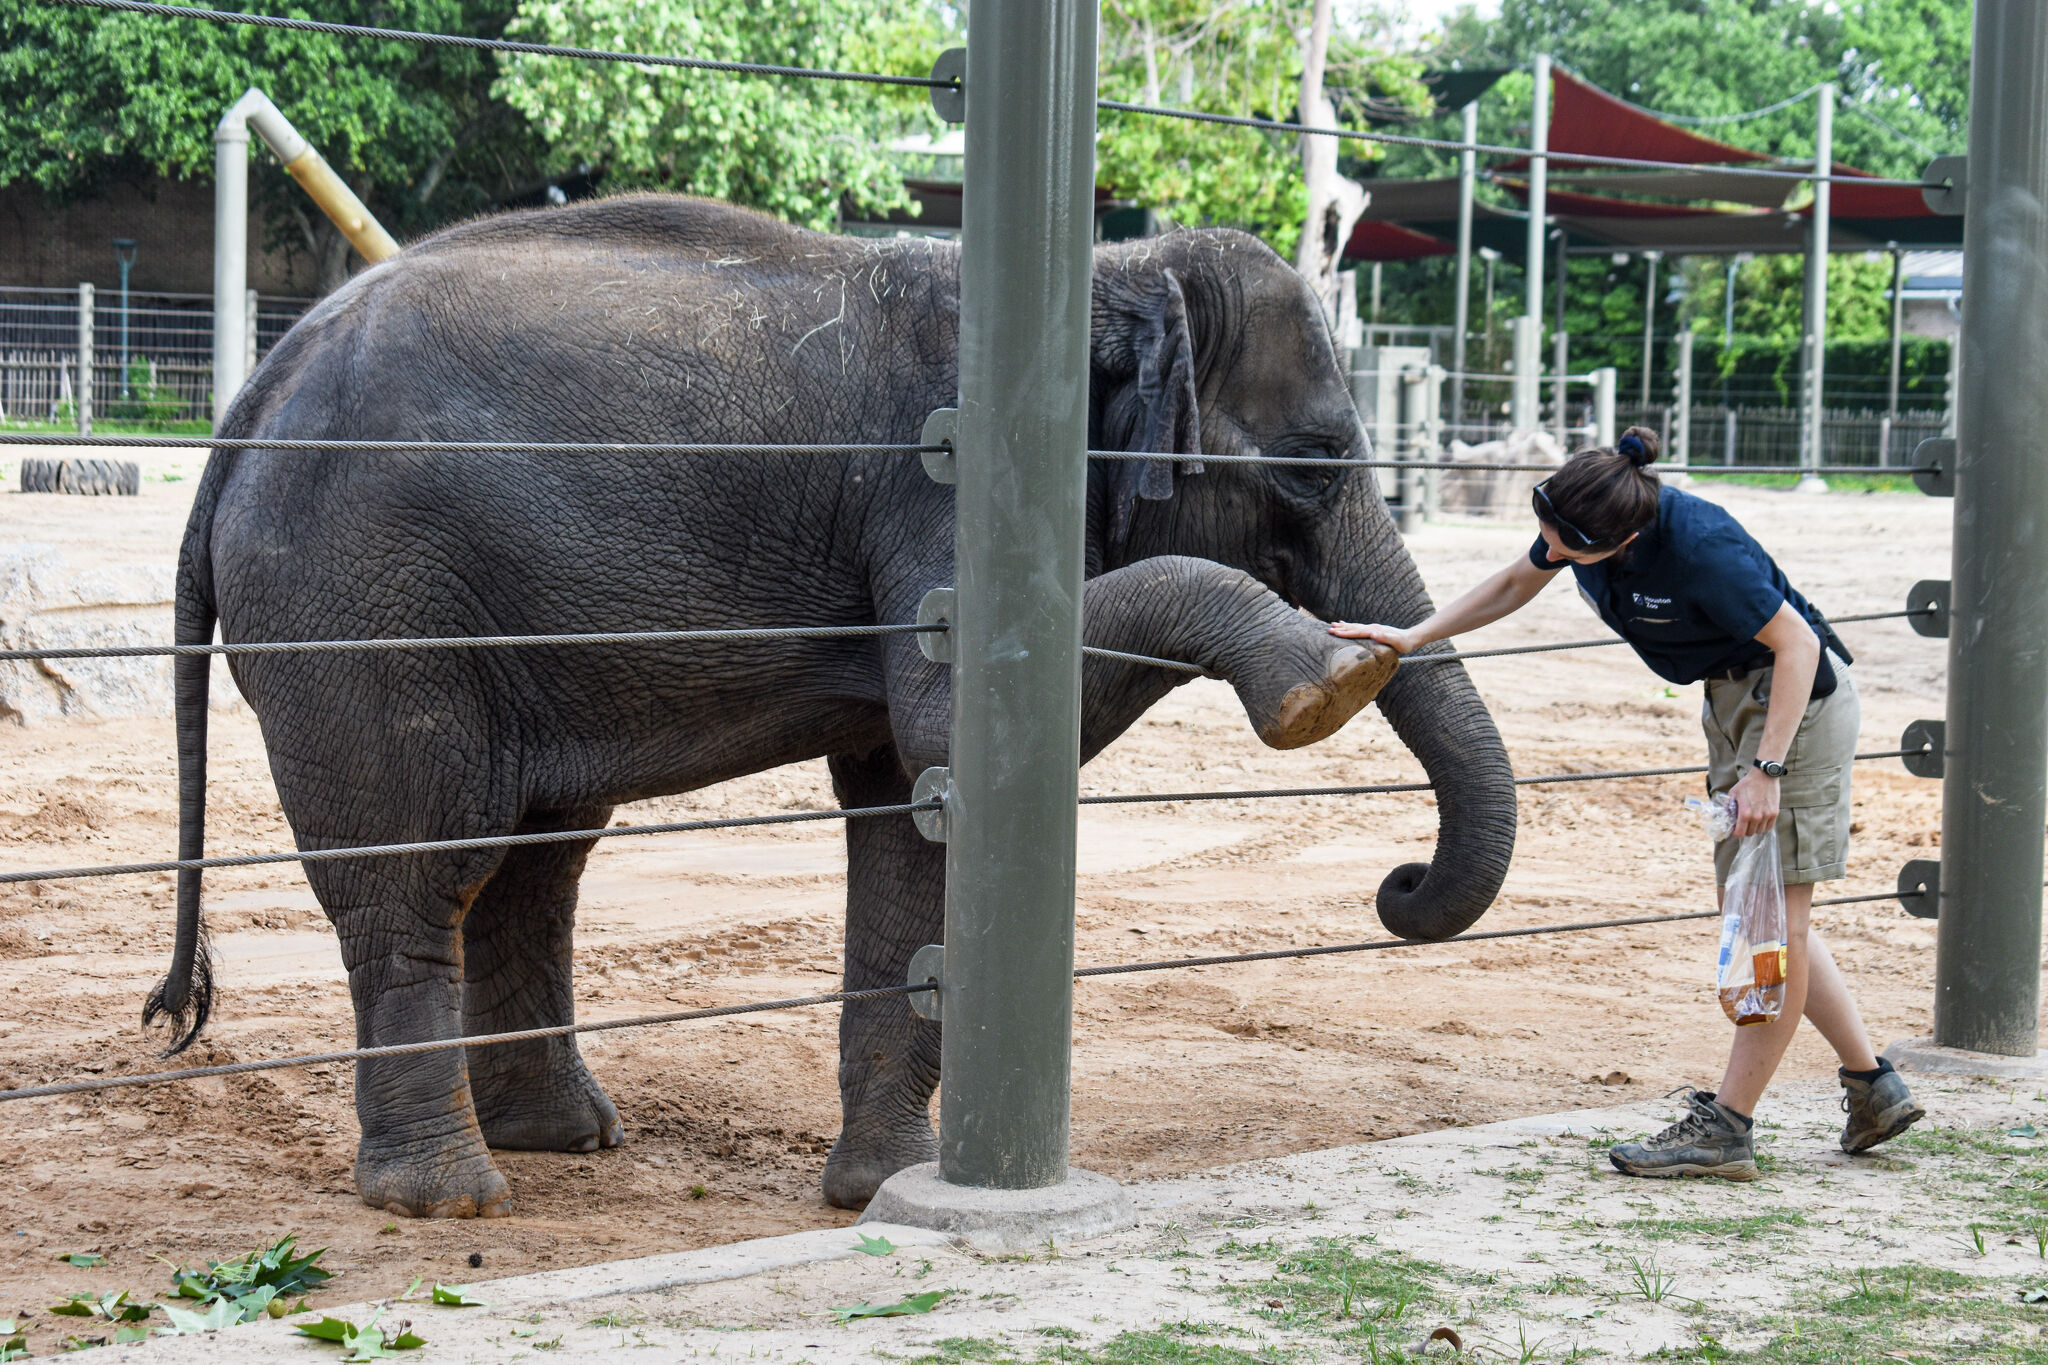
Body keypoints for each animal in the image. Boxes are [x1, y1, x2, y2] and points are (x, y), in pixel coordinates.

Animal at [144, 192, 1515, 1219]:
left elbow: (914, 805)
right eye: (1318, 465)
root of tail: (242, 414)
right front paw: (1314, 685)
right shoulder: (942, 494)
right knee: (423, 868)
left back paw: (562, 1141)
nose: (1396, 884)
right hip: (363, 612)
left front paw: (879, 1193)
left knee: (537, 858)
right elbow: (952, 728)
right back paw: (450, 1198)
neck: (1104, 275)